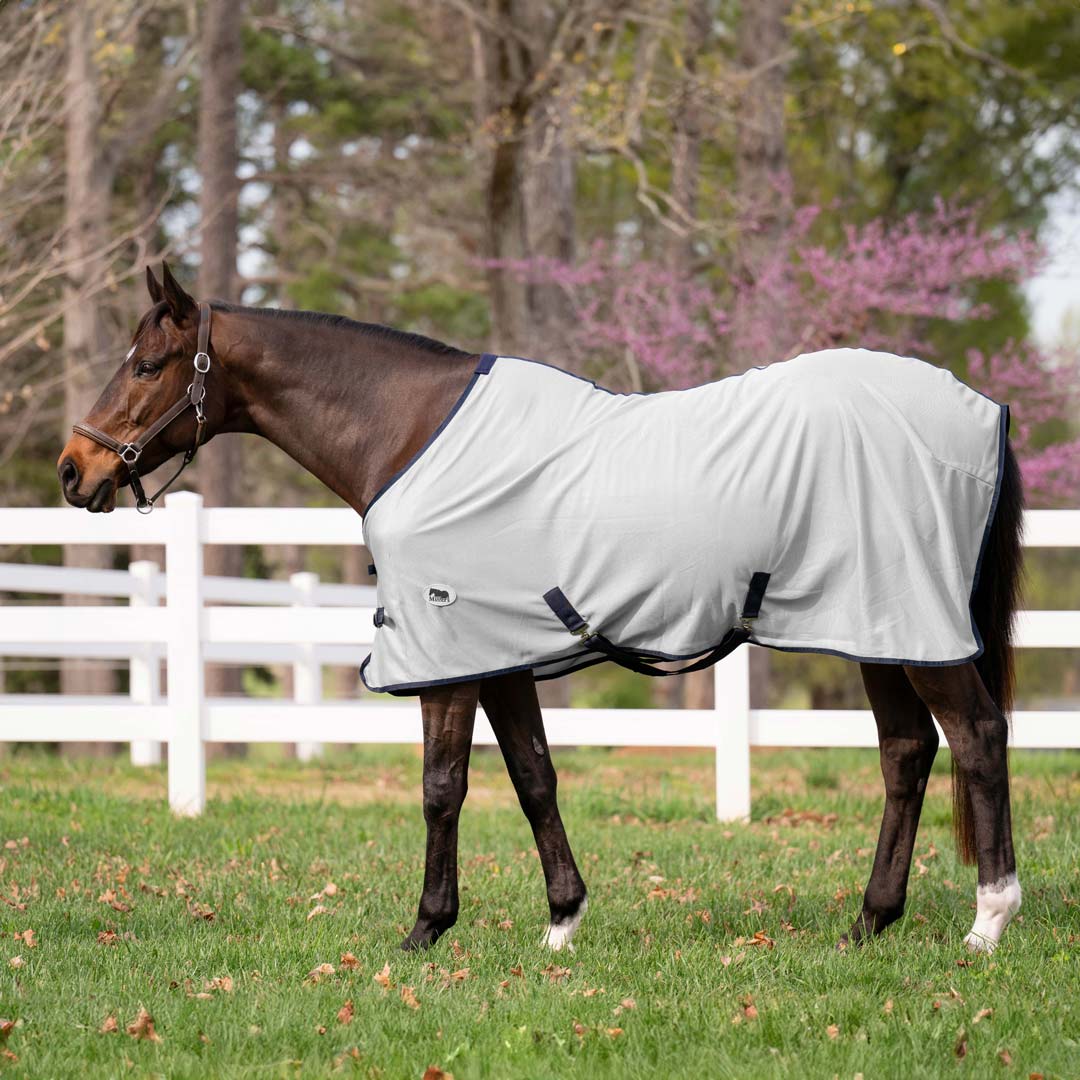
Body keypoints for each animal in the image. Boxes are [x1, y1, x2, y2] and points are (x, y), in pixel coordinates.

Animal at [57, 264, 1025, 954]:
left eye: (146, 364)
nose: (75, 469)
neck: (408, 435)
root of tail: (983, 409)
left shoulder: (447, 653)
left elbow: (442, 786)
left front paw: (425, 929)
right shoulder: (497, 652)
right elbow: (533, 776)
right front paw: (562, 920)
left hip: (917, 631)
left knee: (977, 737)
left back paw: (988, 919)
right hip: (878, 629)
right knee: (907, 753)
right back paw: (870, 921)